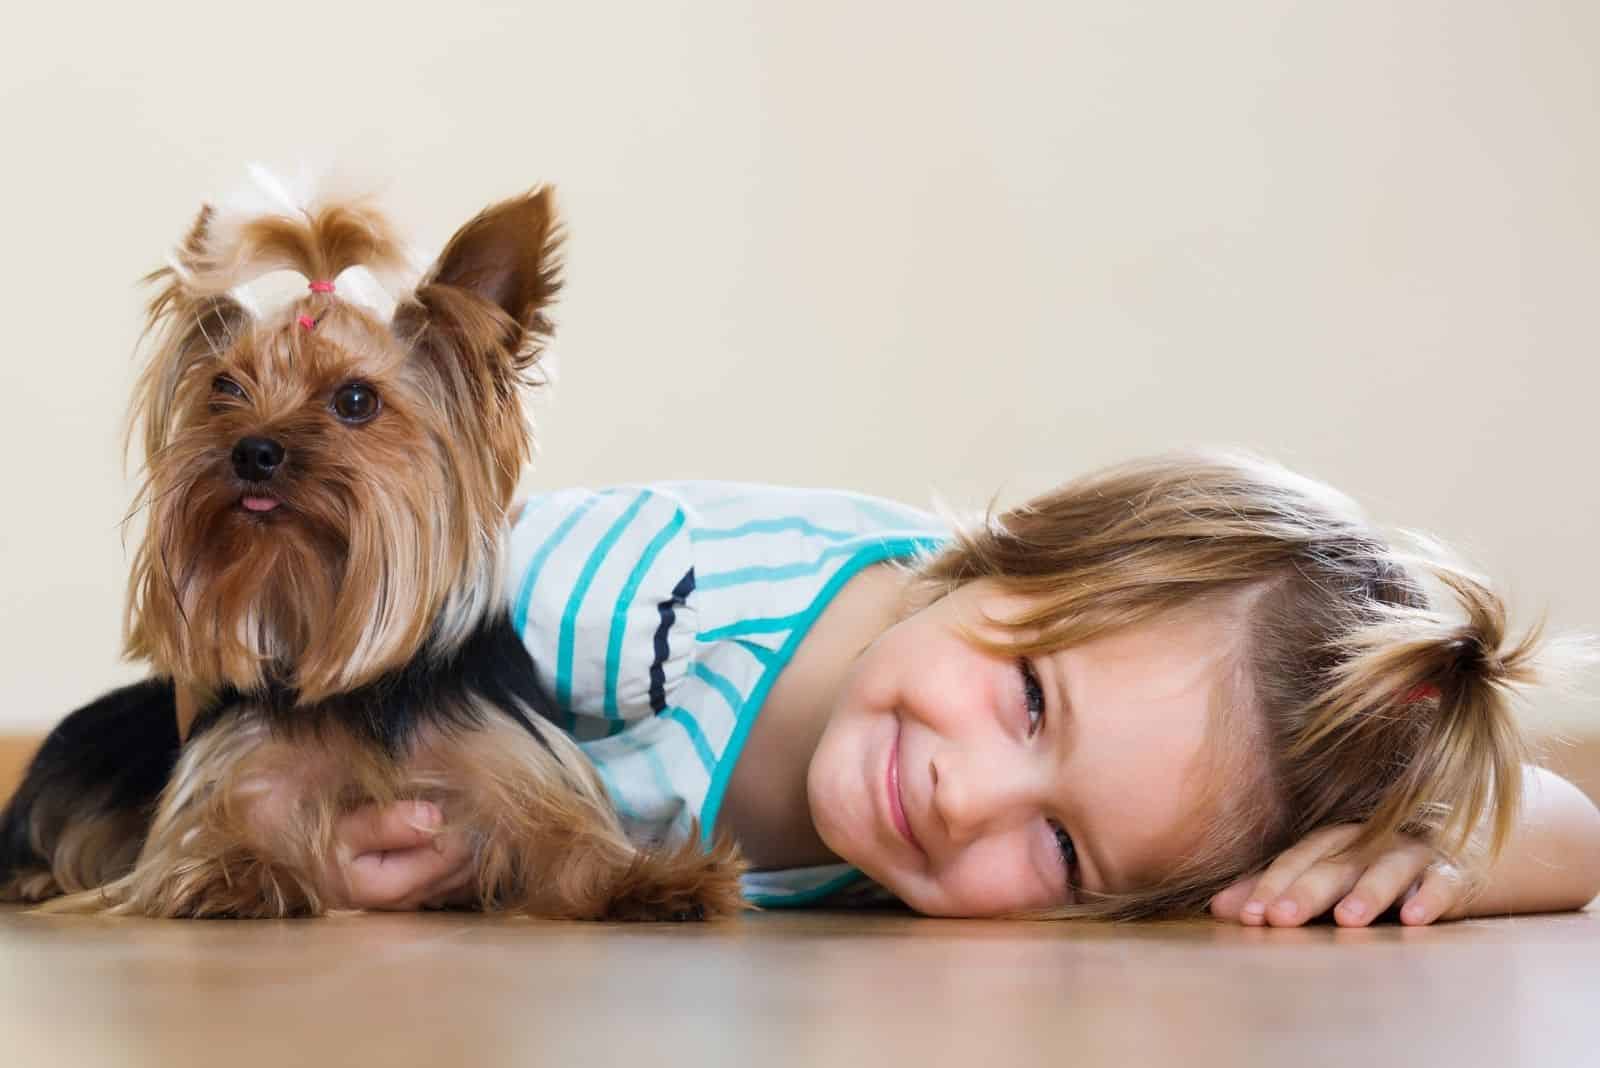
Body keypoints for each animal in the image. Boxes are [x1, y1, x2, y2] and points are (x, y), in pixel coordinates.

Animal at [0, 173, 745, 920]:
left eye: (356, 400)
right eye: (224, 390)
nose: (251, 450)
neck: (361, 688)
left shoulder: (515, 757)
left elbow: (571, 844)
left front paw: (656, 880)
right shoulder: (238, 770)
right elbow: (206, 839)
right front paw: (232, 873)